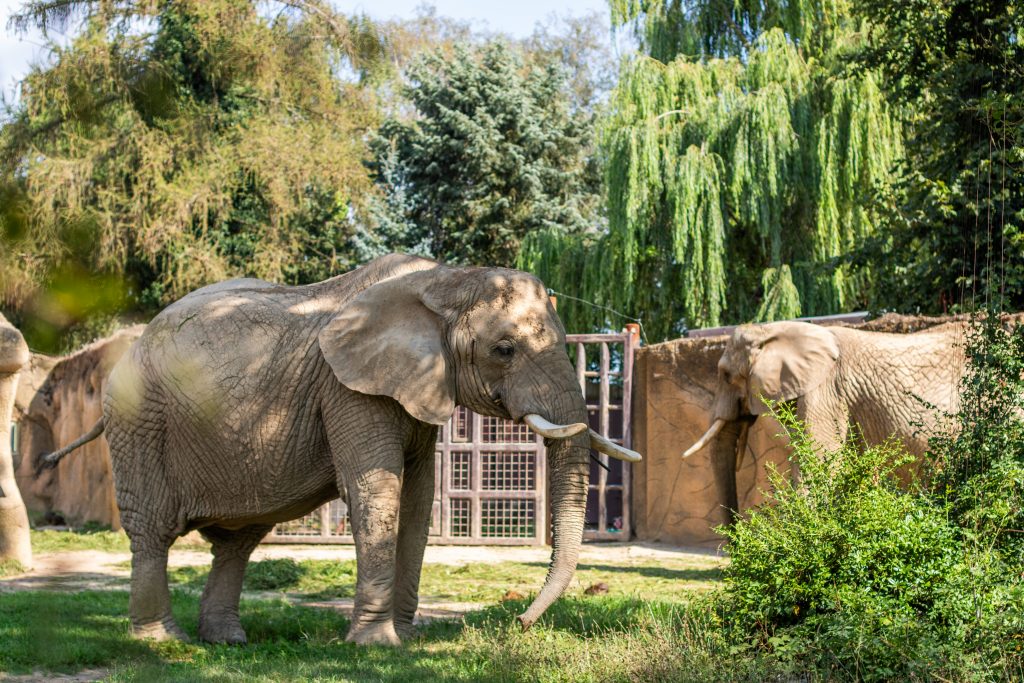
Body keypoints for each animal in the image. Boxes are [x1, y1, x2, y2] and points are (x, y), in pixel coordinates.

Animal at [48, 254, 638, 647]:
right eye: (505, 349)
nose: (519, 622)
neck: (440, 281)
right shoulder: (347, 387)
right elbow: (379, 492)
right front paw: (375, 646)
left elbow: (418, 501)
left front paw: (405, 641)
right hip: (137, 418)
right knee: (153, 530)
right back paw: (162, 642)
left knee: (238, 540)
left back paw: (227, 641)